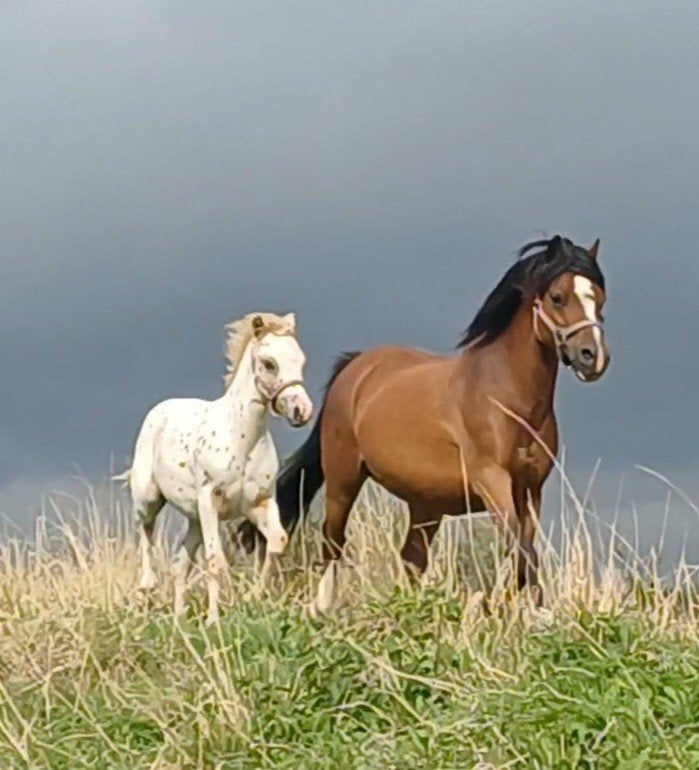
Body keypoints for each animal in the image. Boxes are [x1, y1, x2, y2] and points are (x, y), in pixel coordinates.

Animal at [118, 312, 313, 624]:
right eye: (269, 363)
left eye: (301, 360)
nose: (302, 411)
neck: (243, 440)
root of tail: (160, 410)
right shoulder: (210, 500)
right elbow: (215, 560)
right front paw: (213, 620)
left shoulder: (259, 503)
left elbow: (277, 543)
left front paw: (253, 598)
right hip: (149, 499)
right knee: (145, 533)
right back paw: (148, 587)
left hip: (195, 518)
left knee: (180, 563)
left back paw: (179, 620)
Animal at [237, 236, 609, 612]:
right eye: (557, 297)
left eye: (599, 297)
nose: (593, 357)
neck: (508, 400)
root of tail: (356, 367)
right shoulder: (493, 481)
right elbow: (520, 550)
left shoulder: (531, 491)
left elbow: (524, 552)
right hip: (344, 479)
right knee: (333, 543)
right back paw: (324, 607)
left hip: (426, 504)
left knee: (411, 557)